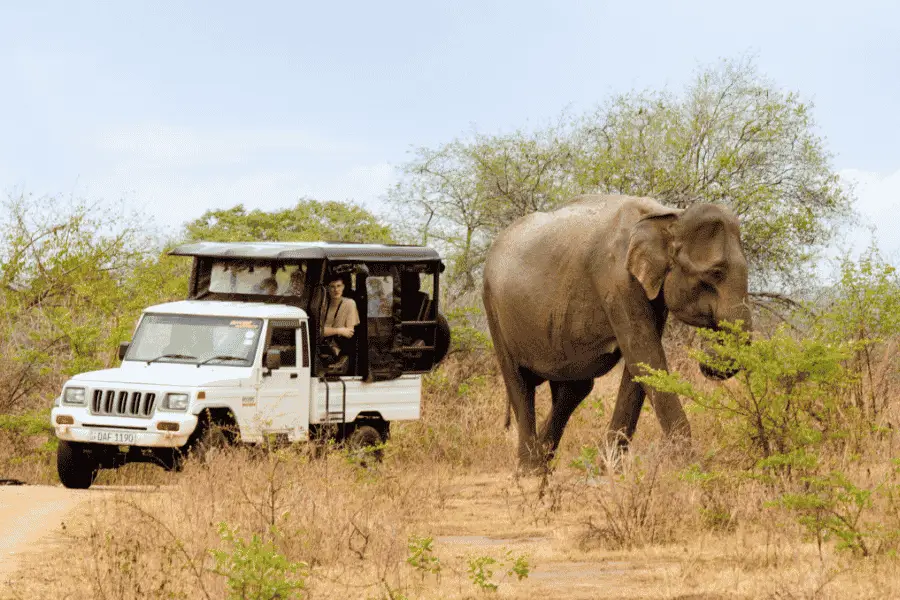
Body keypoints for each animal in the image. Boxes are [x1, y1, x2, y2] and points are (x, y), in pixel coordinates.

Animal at [482, 194, 752, 472]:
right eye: (715, 273)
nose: (707, 350)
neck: (669, 217)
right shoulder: (616, 279)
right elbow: (644, 355)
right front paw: (691, 468)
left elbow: (641, 366)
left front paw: (608, 468)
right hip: (492, 306)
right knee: (520, 382)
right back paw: (531, 471)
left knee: (575, 388)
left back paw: (544, 461)